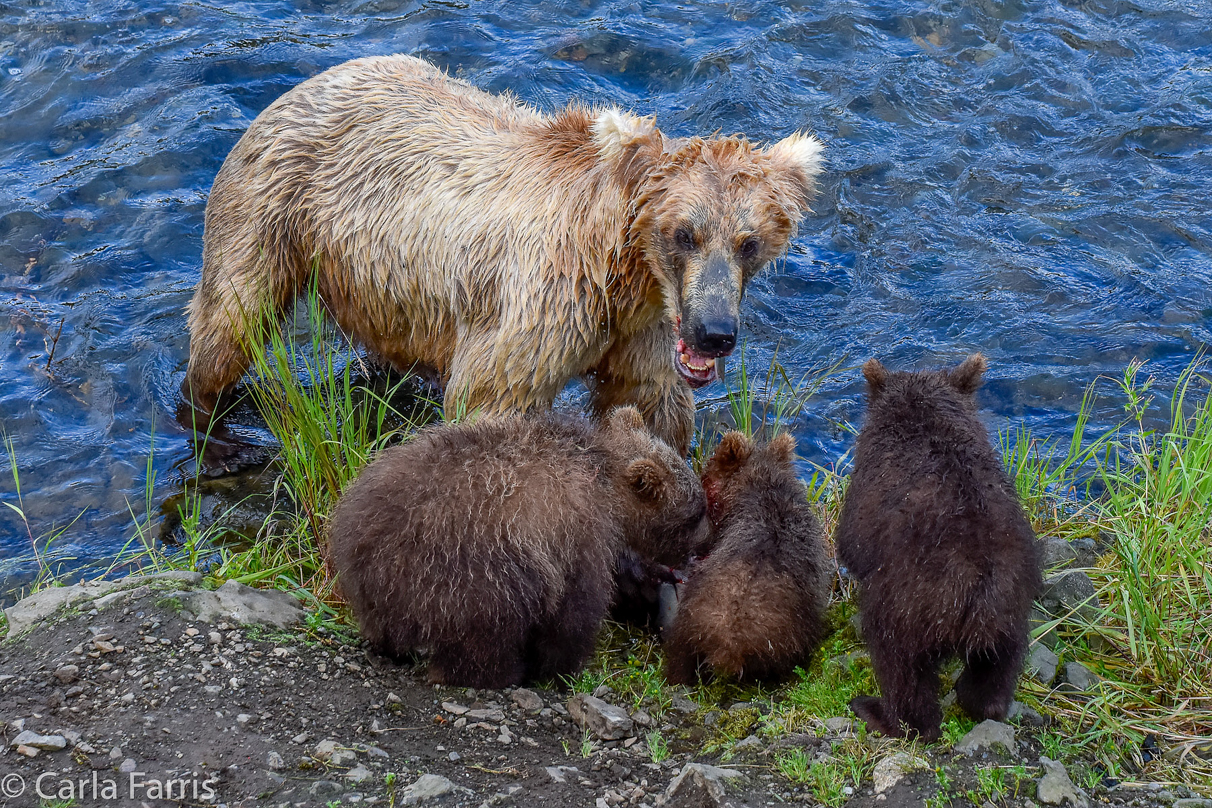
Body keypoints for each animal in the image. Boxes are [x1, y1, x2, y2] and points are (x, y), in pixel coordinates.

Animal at [179, 53, 824, 455]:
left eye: (749, 242)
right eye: (684, 233)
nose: (715, 332)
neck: (618, 274)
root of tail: (315, 78)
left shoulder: (642, 329)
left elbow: (650, 406)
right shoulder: (541, 308)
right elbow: (490, 401)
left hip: (383, 280)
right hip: (274, 204)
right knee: (231, 317)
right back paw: (213, 429)